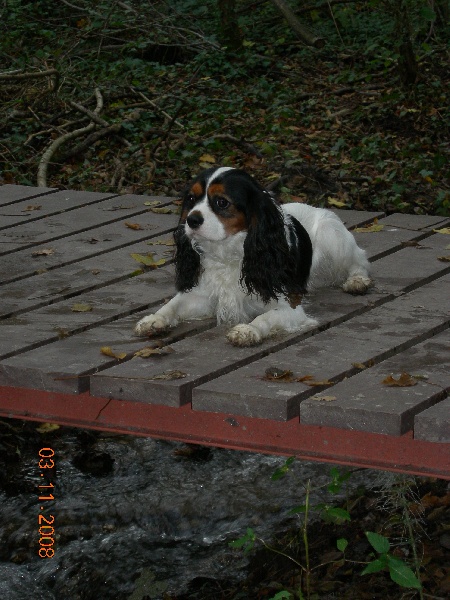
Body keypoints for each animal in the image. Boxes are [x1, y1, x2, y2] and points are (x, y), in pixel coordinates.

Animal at [134, 169, 372, 346]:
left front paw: (248, 330)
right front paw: (154, 319)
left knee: (359, 259)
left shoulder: (290, 308)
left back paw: (357, 281)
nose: (191, 220)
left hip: (330, 234)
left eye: (221, 202)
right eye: (191, 199)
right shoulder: (203, 295)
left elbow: (266, 317)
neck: (228, 253)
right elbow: (174, 304)